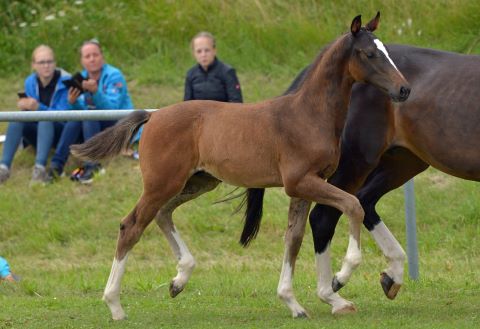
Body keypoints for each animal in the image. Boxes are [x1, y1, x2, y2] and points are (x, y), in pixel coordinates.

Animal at [70, 14, 408, 320]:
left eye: (386, 51)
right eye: (369, 53)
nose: (403, 90)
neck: (308, 115)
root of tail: (153, 116)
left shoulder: (305, 187)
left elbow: (294, 239)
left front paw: (294, 303)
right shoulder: (300, 182)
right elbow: (353, 205)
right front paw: (342, 276)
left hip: (199, 181)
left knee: (164, 214)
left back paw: (179, 279)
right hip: (161, 183)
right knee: (132, 225)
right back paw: (115, 305)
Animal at [246, 43, 480, 302]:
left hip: (402, 162)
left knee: (363, 201)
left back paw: (390, 275)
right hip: (356, 162)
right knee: (326, 215)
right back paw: (333, 286)